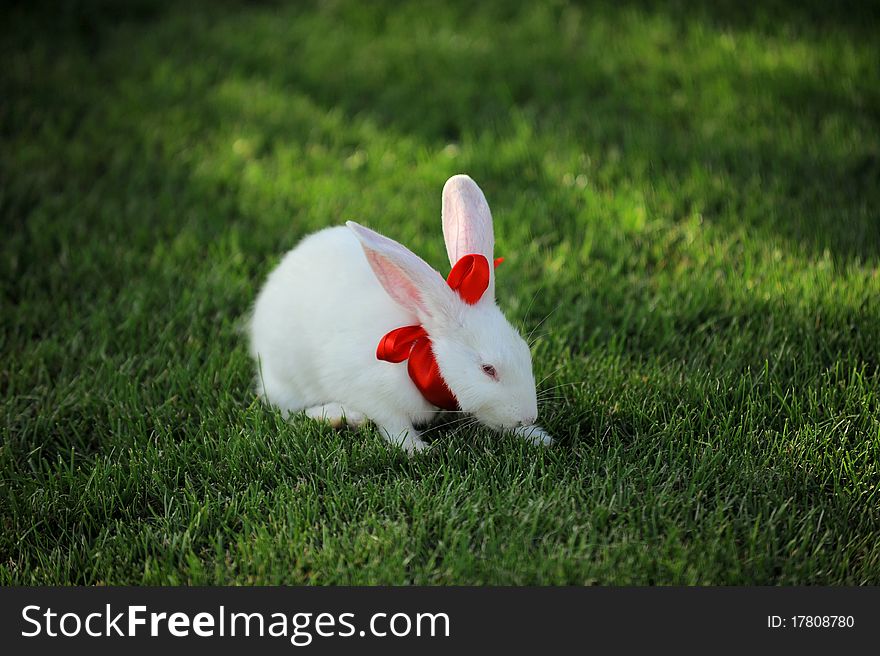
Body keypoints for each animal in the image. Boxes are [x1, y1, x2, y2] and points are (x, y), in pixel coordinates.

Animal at [246, 174, 552, 452]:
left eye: (525, 351)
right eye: (488, 369)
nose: (529, 416)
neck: (418, 354)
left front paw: (538, 437)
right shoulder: (373, 394)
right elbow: (394, 425)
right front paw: (417, 450)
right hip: (286, 377)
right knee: (288, 410)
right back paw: (341, 416)